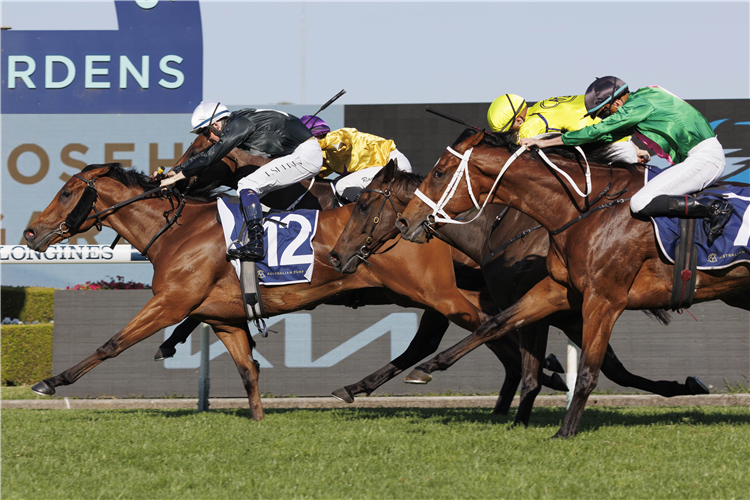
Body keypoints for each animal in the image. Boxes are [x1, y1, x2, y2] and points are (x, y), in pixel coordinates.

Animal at [23, 162, 528, 416]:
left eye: (67, 193)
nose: (31, 232)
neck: (178, 232)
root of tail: (425, 218)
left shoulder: (171, 302)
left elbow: (111, 344)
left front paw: (51, 381)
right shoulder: (223, 317)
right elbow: (249, 371)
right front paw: (259, 421)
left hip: (432, 291)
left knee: (490, 326)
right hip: (430, 293)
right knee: (472, 326)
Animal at [328, 161, 712, 426]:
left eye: (362, 205)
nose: (335, 255)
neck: (493, 233)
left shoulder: (559, 309)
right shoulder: (563, 313)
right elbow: (608, 370)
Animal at [396, 130, 748, 438]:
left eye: (439, 173)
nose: (404, 222)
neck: (585, 210)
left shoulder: (603, 300)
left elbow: (588, 373)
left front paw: (564, 431)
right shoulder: (559, 290)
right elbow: (495, 324)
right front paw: (425, 368)